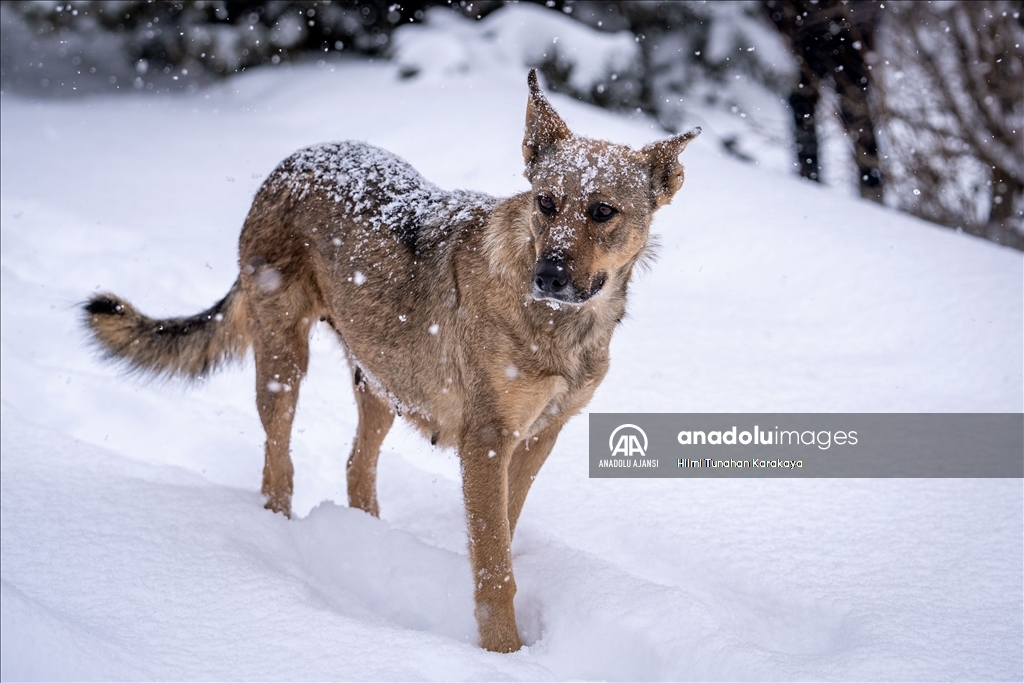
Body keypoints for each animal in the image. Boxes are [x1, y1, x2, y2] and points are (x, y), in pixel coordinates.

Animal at [83, 72, 700, 655]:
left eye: (603, 211)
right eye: (546, 203)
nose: (547, 276)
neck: (560, 326)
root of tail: (291, 162)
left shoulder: (537, 437)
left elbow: (503, 532)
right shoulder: (487, 442)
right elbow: (495, 567)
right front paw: (503, 653)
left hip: (382, 383)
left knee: (357, 466)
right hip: (285, 363)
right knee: (278, 466)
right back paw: (281, 537)